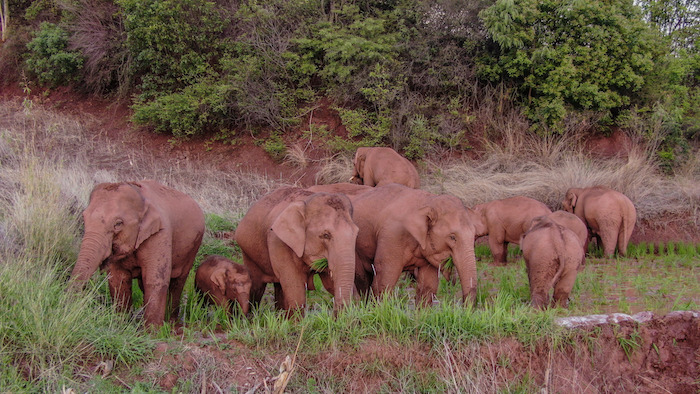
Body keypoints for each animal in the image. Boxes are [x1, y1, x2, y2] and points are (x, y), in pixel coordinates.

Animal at [68, 181, 204, 326]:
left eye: (118, 224)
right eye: (84, 218)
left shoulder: (160, 233)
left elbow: (155, 279)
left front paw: (152, 330)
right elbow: (118, 280)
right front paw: (121, 324)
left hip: (193, 247)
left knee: (178, 282)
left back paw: (171, 322)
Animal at [235, 186, 358, 316]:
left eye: (356, 234)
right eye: (326, 235)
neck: (306, 202)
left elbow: (329, 284)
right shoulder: (279, 242)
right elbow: (296, 292)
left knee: (279, 288)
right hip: (248, 253)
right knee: (257, 288)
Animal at [350, 184, 482, 304]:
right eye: (452, 237)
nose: (465, 308)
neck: (428, 201)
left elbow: (428, 285)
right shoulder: (392, 236)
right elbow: (385, 279)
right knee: (363, 280)